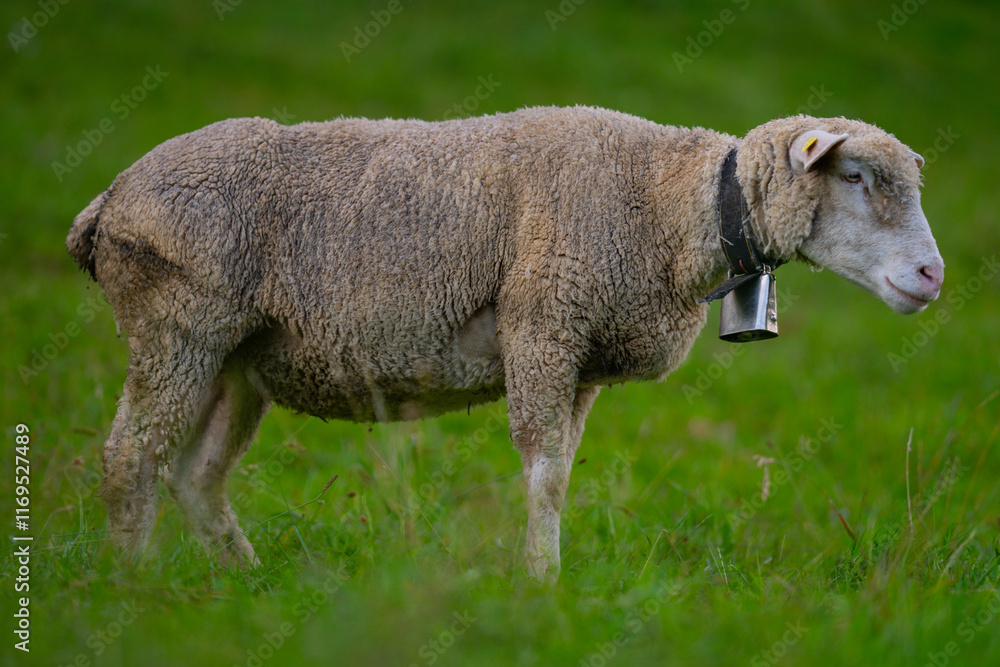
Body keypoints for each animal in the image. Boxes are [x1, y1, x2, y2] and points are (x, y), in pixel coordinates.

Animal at [66, 106, 944, 579]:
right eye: (856, 177)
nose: (932, 275)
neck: (668, 202)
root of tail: (109, 199)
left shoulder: (583, 358)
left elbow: (562, 473)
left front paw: (543, 572)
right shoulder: (543, 324)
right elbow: (546, 474)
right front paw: (542, 583)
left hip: (237, 359)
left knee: (195, 473)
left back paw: (244, 578)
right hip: (179, 322)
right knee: (130, 456)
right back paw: (135, 585)